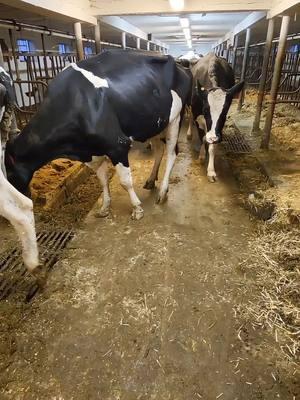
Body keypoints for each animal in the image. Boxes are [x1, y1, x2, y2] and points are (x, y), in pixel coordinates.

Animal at [4, 50, 191, 220]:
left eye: (8, 174)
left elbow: (125, 181)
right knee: (159, 150)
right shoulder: (93, 152)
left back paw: (163, 191)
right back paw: (151, 180)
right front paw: (104, 207)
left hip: (176, 118)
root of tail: (178, 62)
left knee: (172, 153)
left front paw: (137, 209)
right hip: (155, 123)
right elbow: (102, 179)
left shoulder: (117, 145)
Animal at [188, 53, 244, 183]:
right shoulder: (197, 114)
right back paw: (189, 133)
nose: (213, 137)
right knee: (190, 118)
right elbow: (202, 137)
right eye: (205, 110)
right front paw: (202, 156)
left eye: (224, 112)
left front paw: (211, 171)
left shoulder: (217, 129)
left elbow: (212, 146)